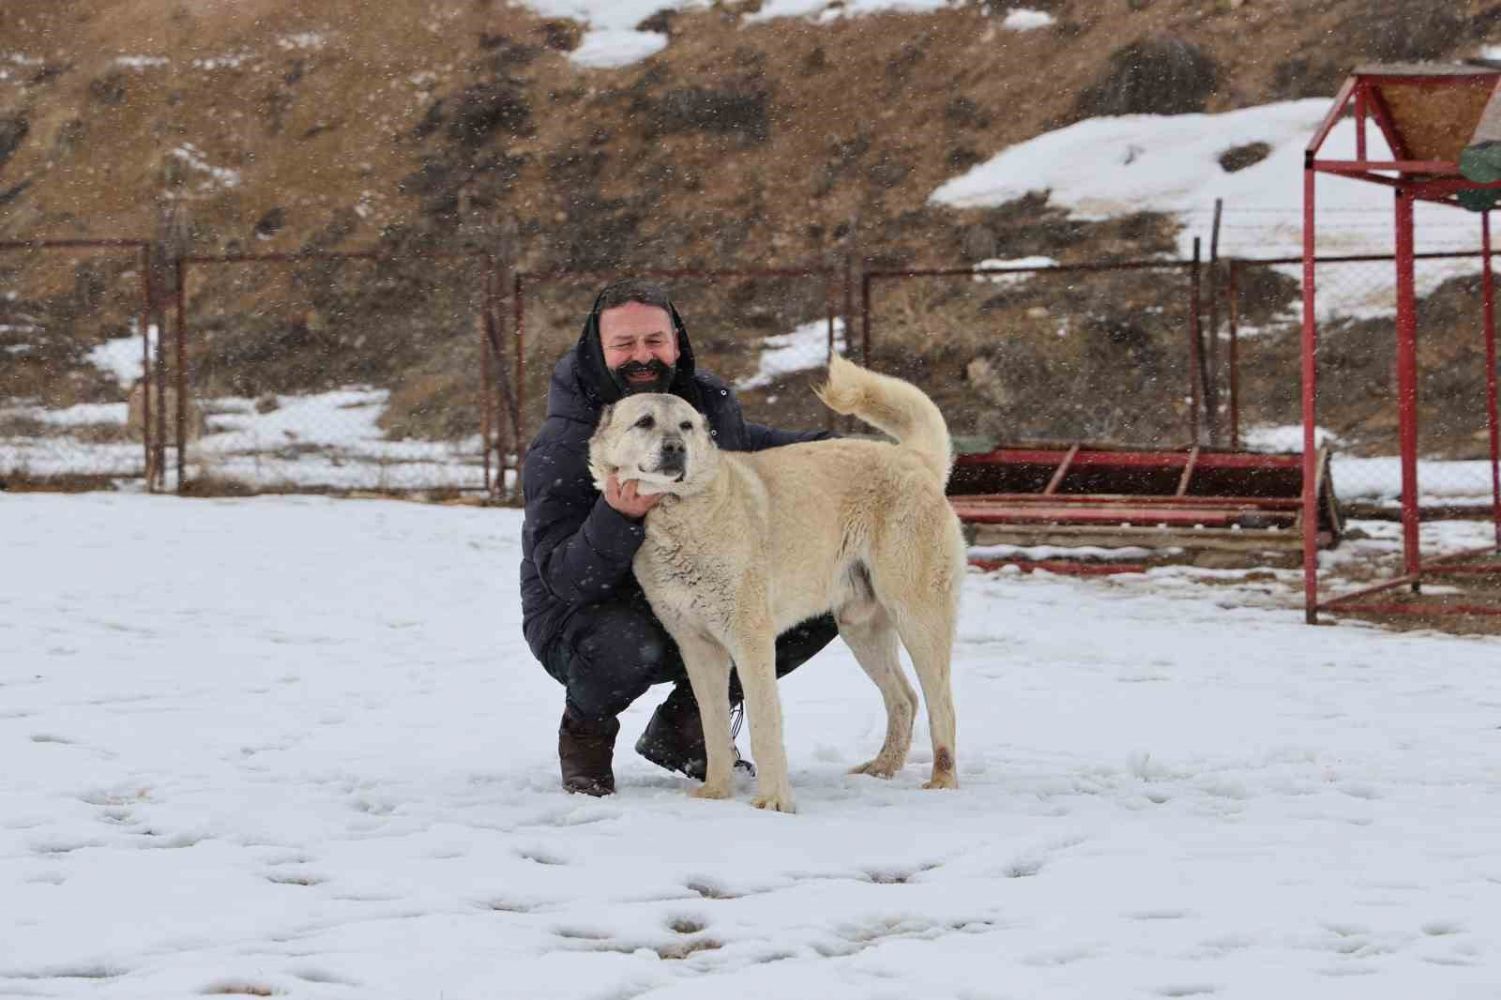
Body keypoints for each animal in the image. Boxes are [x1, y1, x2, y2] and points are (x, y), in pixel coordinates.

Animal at [585, 355, 960, 810]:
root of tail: (914, 458)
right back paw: (881, 768)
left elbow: (765, 725)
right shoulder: (698, 647)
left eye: (686, 426)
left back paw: (942, 780)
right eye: (644, 422)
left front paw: (774, 802)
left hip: (917, 618)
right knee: (904, 697)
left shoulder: (751, 640)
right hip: (860, 628)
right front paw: (716, 791)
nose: (675, 448)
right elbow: (711, 725)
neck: (677, 514)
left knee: (942, 704)